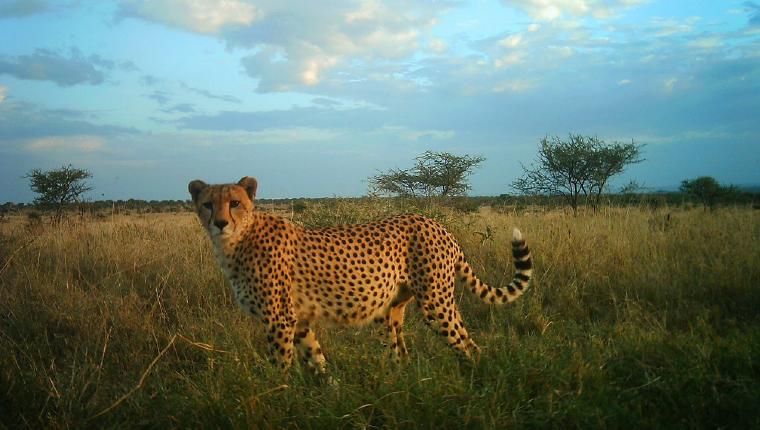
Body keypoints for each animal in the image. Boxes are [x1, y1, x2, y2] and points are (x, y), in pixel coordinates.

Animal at [190, 177, 536, 372]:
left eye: (235, 202)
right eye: (207, 204)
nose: (220, 223)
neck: (237, 241)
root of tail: (436, 223)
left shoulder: (279, 320)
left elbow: (281, 367)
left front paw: (279, 399)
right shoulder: (298, 321)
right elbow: (317, 361)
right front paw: (328, 397)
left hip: (435, 304)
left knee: (467, 345)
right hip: (391, 310)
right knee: (401, 354)